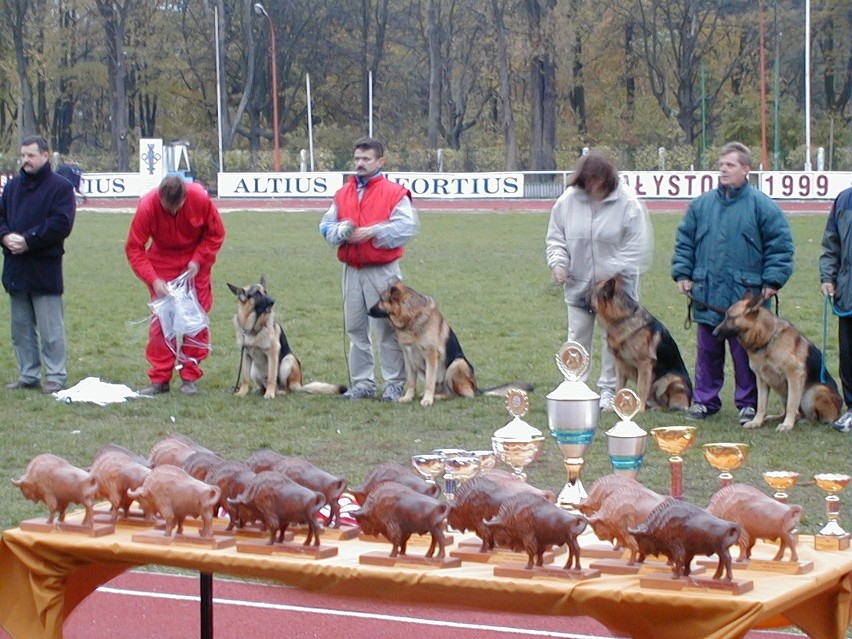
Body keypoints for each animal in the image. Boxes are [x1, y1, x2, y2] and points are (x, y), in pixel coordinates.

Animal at [368, 282, 532, 408]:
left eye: (381, 299)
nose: (368, 311)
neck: (411, 318)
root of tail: (476, 388)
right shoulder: (408, 356)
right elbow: (410, 382)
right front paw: (408, 397)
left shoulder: (431, 355)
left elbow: (429, 382)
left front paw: (427, 400)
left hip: (457, 364)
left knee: (458, 395)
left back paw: (437, 396)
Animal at [588, 276, 696, 410]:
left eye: (588, 293)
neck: (622, 317)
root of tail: (689, 402)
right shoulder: (620, 365)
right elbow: (619, 387)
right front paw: (613, 408)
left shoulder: (644, 365)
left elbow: (641, 388)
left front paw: (639, 409)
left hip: (669, 380)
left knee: (666, 405)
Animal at [708, 292, 844, 432]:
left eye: (730, 317)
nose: (713, 333)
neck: (766, 338)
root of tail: (838, 412)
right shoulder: (761, 378)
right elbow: (761, 404)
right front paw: (756, 421)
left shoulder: (795, 375)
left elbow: (791, 405)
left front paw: (787, 425)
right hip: (781, 390)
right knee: (792, 413)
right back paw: (773, 418)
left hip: (813, 392)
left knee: (817, 418)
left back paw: (804, 421)